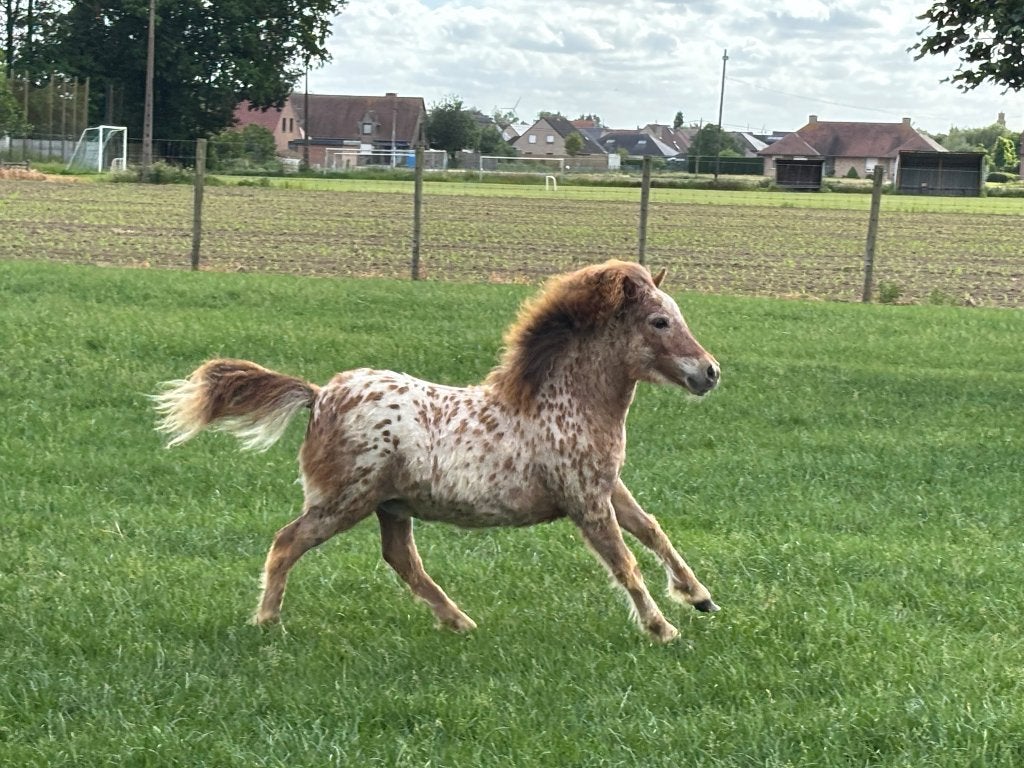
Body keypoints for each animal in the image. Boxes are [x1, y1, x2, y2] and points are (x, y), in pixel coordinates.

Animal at [153, 259, 721, 642]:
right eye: (659, 322)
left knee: (401, 559)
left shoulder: (605, 487)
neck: (564, 403)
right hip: (344, 501)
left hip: (390, 506)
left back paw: (459, 621)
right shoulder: (585, 501)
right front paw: (662, 629)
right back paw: (268, 621)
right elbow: (625, 562)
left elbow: (653, 531)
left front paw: (700, 597)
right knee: (287, 542)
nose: (711, 372)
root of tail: (317, 396)